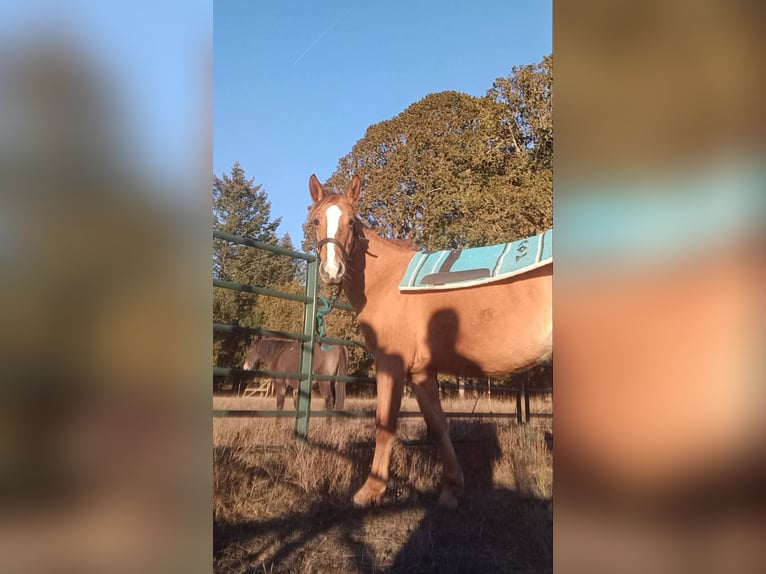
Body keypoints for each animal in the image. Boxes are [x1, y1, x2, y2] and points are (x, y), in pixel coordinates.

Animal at [308, 174, 552, 508]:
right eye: (316, 220)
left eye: (350, 222)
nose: (332, 271)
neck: (387, 282)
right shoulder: (421, 372)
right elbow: (437, 427)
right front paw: (451, 490)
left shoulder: (391, 364)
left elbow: (385, 425)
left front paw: (371, 490)